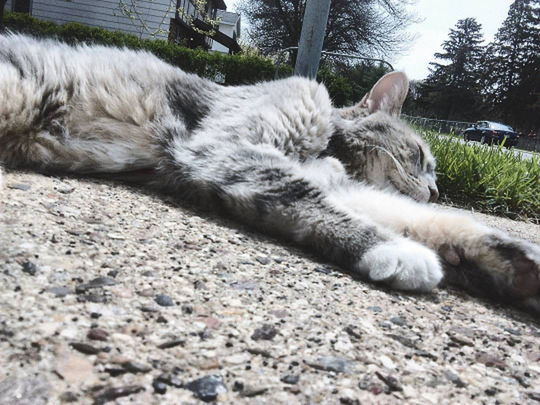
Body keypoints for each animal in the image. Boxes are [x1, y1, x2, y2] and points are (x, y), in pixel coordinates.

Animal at [0, 34, 536, 312]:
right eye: (420, 157)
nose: (438, 188)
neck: (330, 151)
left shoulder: (342, 185)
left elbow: (421, 219)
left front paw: (516, 261)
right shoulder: (229, 149)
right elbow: (304, 196)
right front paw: (394, 251)